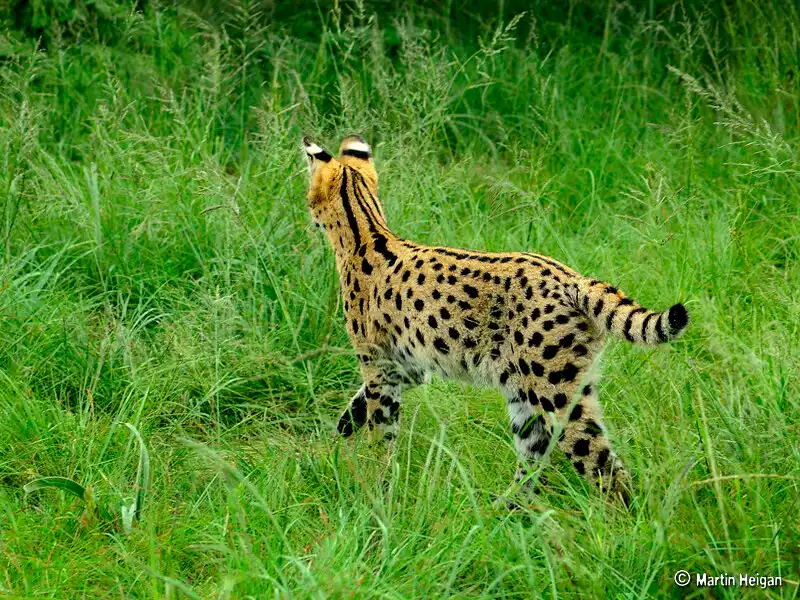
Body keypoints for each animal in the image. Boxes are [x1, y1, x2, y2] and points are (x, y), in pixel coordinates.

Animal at [300, 135, 688, 502]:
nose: (308, 215)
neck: (365, 233)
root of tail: (572, 279)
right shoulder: (409, 367)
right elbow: (360, 402)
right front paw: (343, 428)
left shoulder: (377, 363)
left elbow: (381, 429)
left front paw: (378, 485)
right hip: (536, 394)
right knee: (534, 461)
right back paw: (503, 510)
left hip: (554, 393)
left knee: (604, 467)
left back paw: (617, 520)